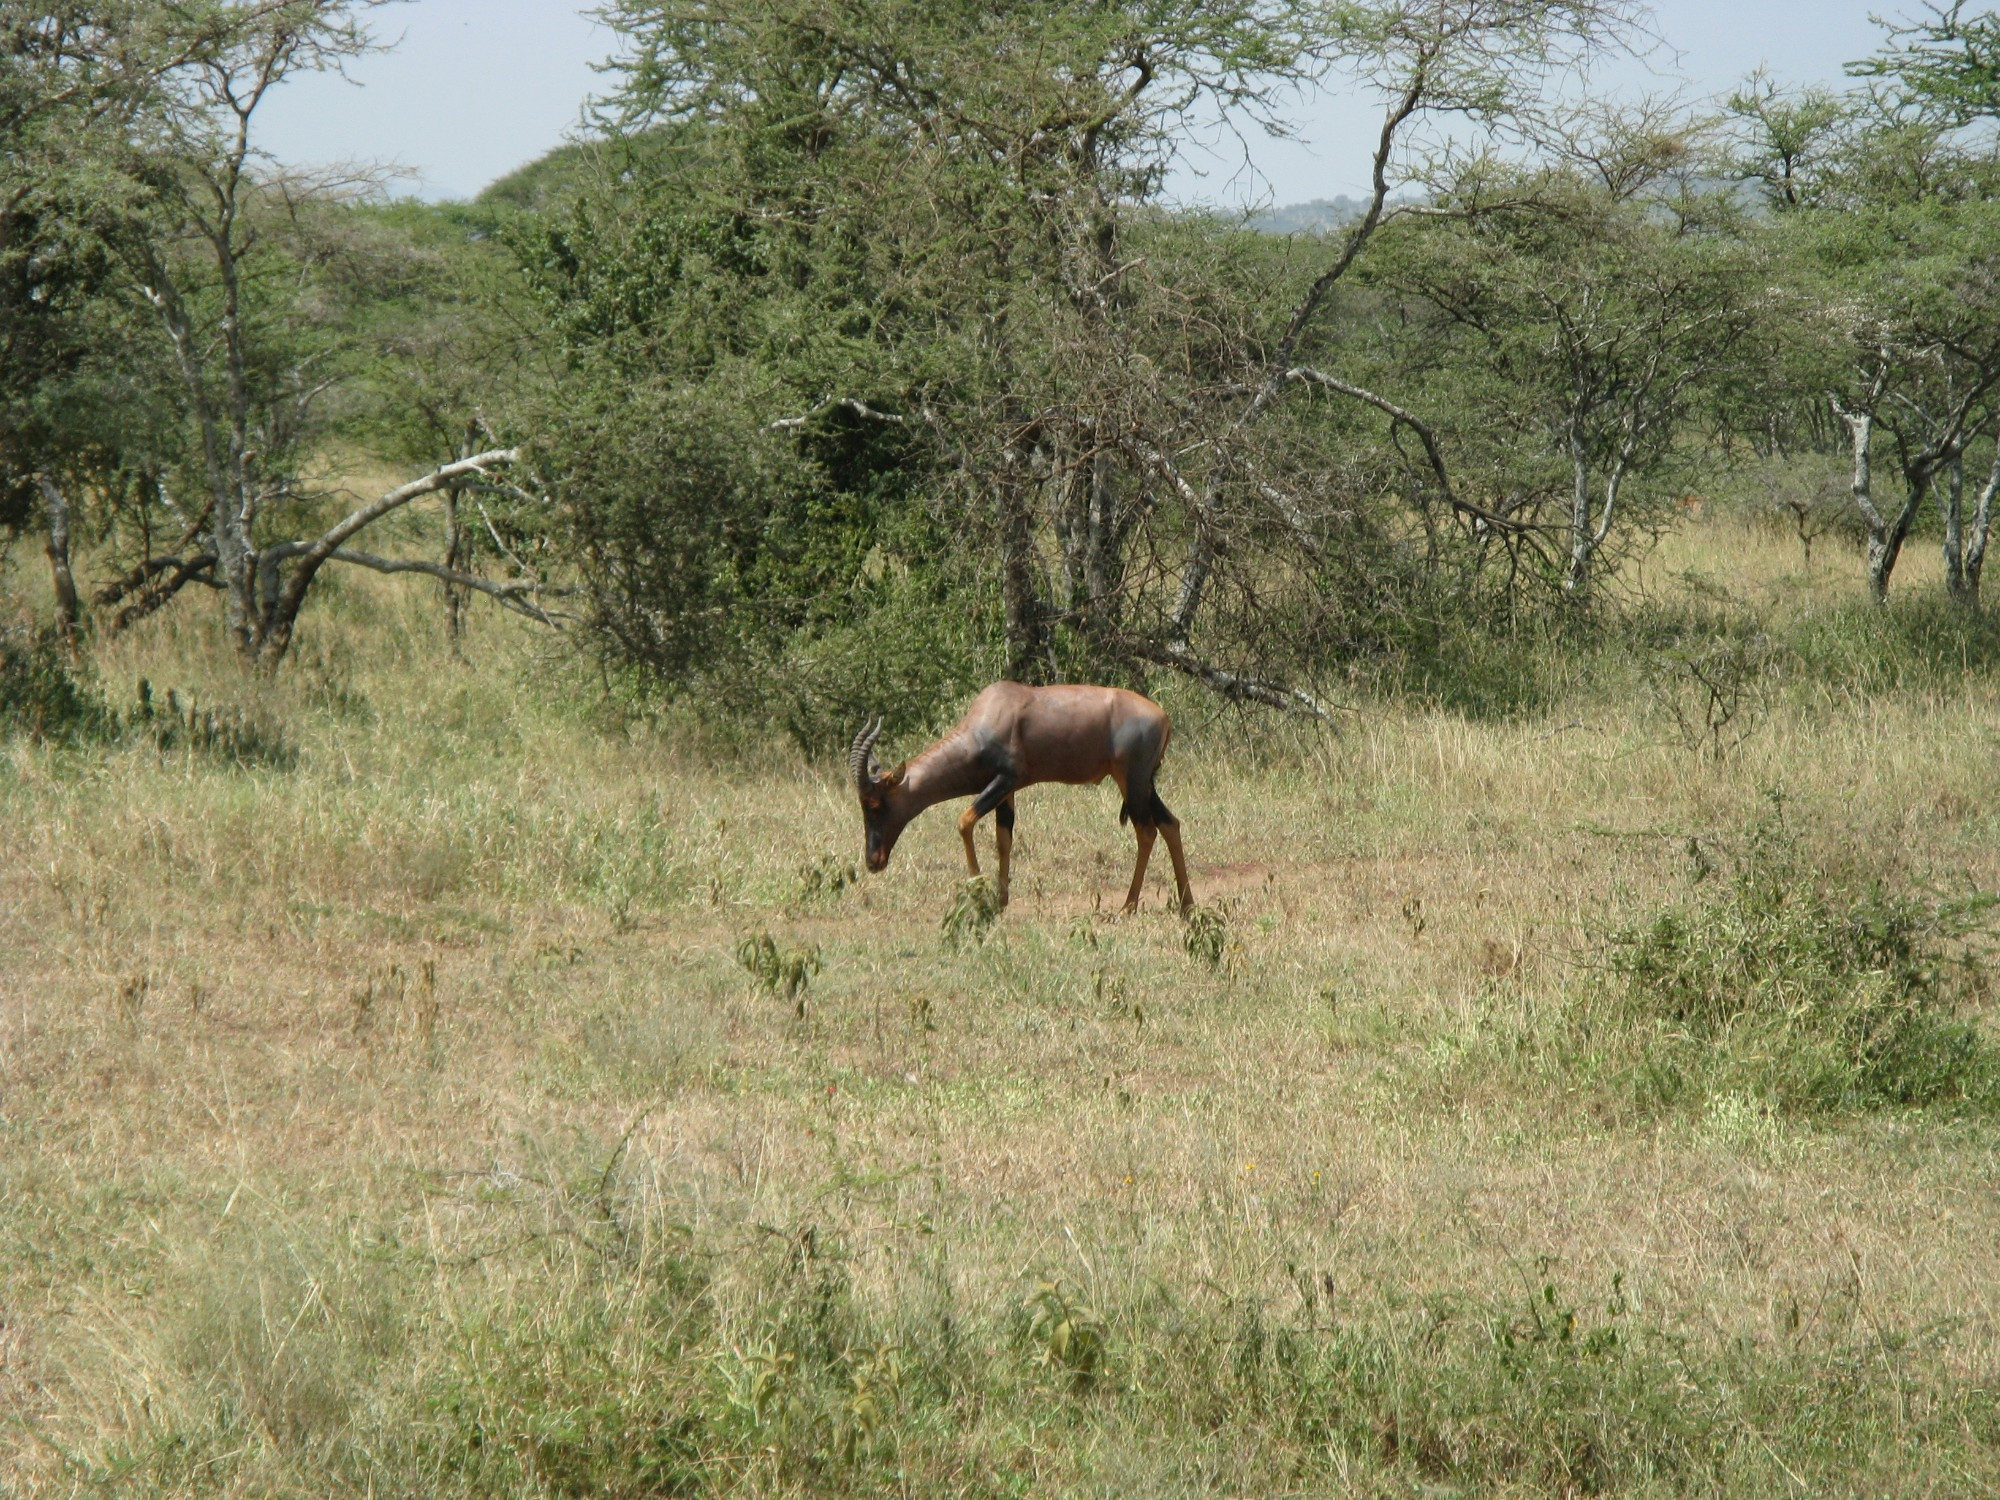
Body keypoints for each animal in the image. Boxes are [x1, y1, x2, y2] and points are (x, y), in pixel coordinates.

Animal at [844, 684, 1184, 916]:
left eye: (875, 804)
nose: (873, 861)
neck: (990, 718)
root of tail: (1164, 717)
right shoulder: (1007, 793)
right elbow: (1003, 839)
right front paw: (1001, 900)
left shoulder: (1004, 780)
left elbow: (964, 821)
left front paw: (980, 895)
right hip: (1143, 784)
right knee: (1170, 824)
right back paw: (1186, 904)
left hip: (1133, 781)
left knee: (1147, 830)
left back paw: (1128, 905)